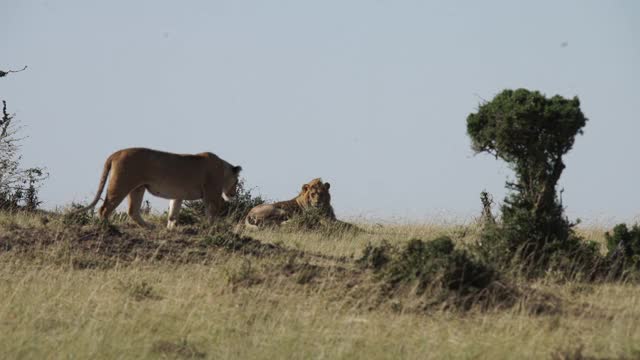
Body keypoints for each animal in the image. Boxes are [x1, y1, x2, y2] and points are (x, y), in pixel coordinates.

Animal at [73, 148, 242, 229]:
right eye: (237, 182)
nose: (234, 193)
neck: (223, 168)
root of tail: (116, 153)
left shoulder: (178, 195)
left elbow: (173, 213)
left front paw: (170, 228)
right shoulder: (211, 193)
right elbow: (212, 213)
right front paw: (214, 228)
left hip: (138, 188)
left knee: (132, 211)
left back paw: (149, 227)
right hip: (121, 184)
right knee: (104, 209)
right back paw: (108, 227)